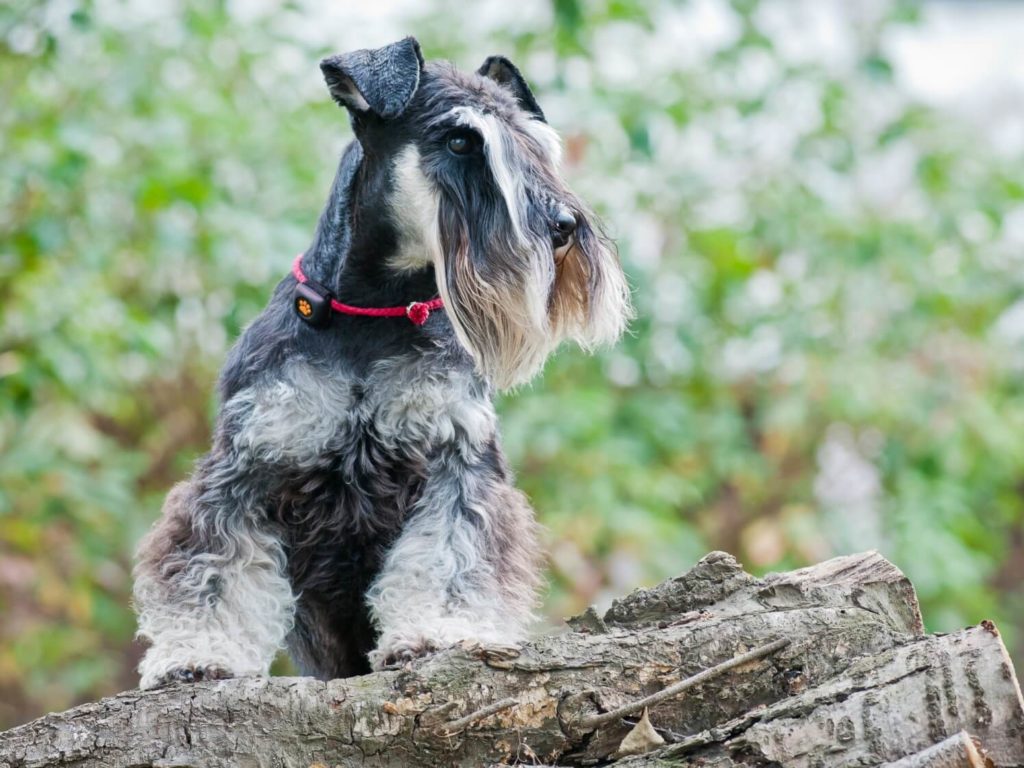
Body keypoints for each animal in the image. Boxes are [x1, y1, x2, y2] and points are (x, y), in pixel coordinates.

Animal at [132, 34, 630, 692]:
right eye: (461, 141)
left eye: (537, 145)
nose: (564, 227)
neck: (374, 310)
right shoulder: (246, 465)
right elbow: (215, 566)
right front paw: (199, 655)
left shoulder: (455, 461)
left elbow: (450, 555)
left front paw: (438, 632)